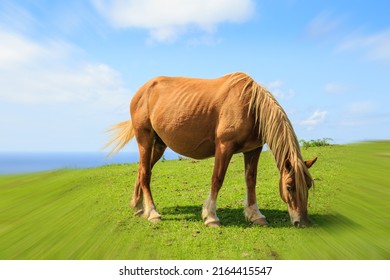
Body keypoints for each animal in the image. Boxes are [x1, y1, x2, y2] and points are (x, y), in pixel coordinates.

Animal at [106, 71, 316, 228]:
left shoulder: (253, 149)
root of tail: (142, 91)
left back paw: (138, 206)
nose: (302, 222)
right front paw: (211, 217)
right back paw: (152, 212)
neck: (251, 106)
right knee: (145, 174)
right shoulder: (224, 147)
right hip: (145, 139)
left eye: (308, 185)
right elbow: (217, 179)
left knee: (143, 171)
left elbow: (250, 181)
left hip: (158, 145)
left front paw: (255, 215)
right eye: (289, 186)